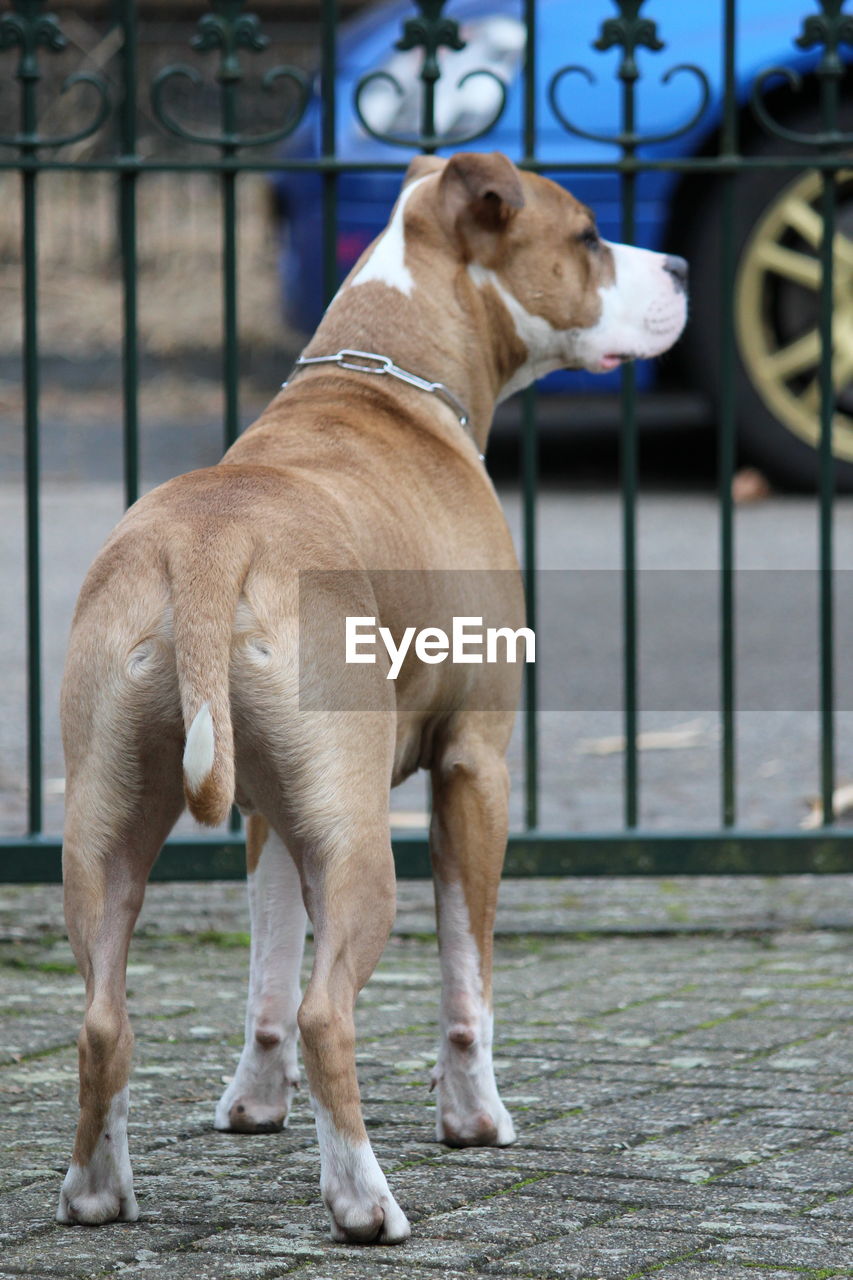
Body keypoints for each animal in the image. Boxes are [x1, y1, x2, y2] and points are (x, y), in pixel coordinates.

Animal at [56, 149, 686, 1239]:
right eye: (587, 236)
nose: (682, 266)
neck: (386, 374)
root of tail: (207, 542)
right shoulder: (475, 766)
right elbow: (466, 977)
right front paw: (474, 1119)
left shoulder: (272, 810)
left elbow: (268, 973)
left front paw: (253, 1106)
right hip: (360, 847)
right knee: (327, 1014)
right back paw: (362, 1199)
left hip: (107, 830)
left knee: (107, 1016)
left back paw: (97, 1190)